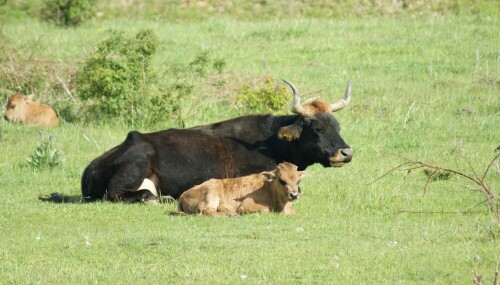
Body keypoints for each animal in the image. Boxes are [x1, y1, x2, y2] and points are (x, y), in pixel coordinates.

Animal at [77, 80, 352, 203]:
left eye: (337, 126)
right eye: (316, 128)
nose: (346, 153)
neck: (273, 142)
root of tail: (91, 166)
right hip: (136, 164)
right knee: (119, 194)